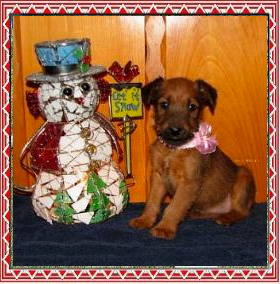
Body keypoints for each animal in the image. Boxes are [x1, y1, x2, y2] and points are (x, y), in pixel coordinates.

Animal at [129, 77, 256, 240]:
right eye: (164, 104)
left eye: (192, 107)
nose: (175, 130)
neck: (174, 149)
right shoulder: (158, 177)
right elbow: (152, 201)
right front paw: (145, 220)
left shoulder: (188, 183)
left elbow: (174, 206)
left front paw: (165, 227)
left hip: (244, 176)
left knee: (242, 211)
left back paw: (227, 217)